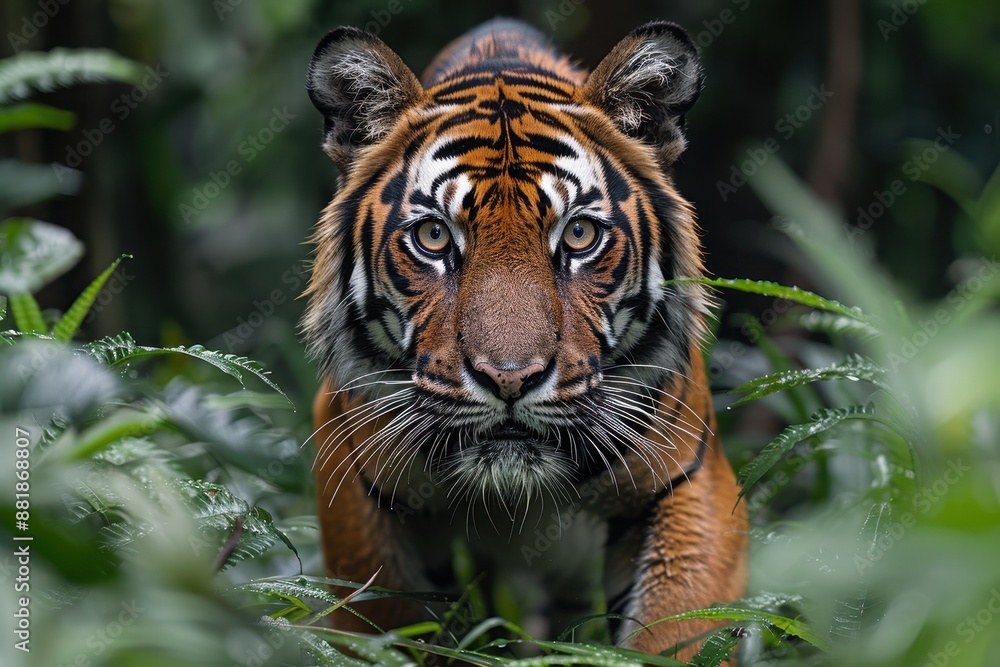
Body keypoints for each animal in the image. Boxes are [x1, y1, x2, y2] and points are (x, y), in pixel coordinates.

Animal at [303, 18, 747, 659]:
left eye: (580, 235)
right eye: (434, 237)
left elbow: (677, 633)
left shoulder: (691, 480)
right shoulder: (355, 483)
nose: (509, 378)